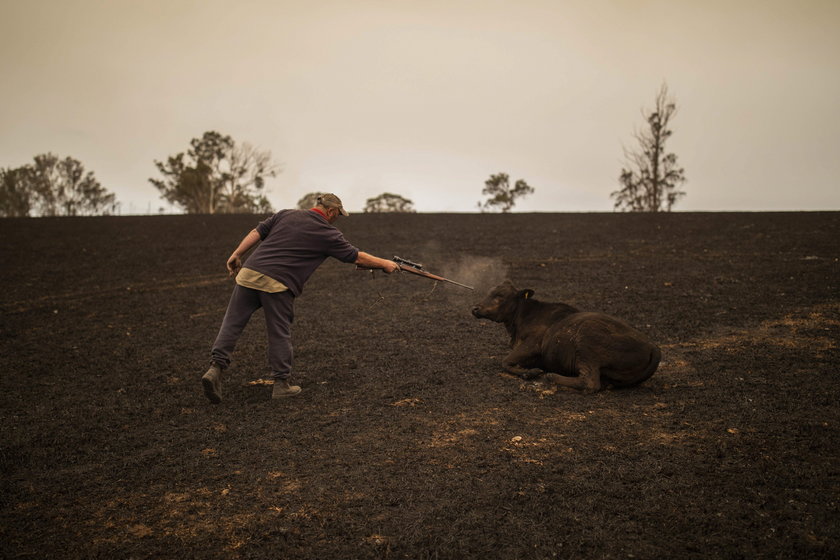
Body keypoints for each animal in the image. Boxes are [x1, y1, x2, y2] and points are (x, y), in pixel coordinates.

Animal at [470, 280, 660, 394]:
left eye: (500, 296)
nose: (475, 308)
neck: (521, 318)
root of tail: (652, 346)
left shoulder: (532, 344)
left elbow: (504, 362)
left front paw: (531, 373)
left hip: (587, 341)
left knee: (590, 382)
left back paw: (551, 376)